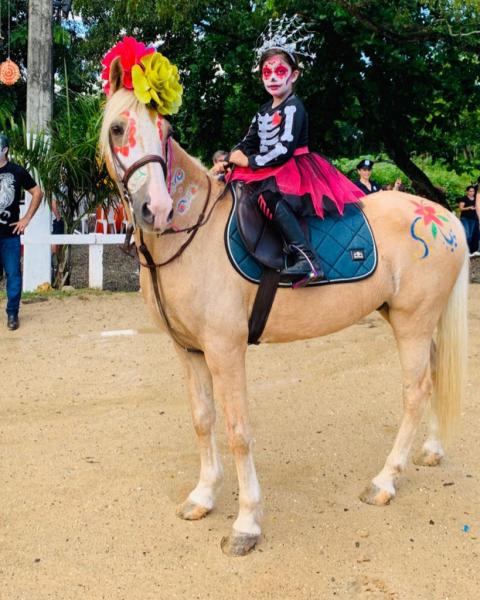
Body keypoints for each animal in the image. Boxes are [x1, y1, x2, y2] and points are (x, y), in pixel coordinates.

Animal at [99, 58, 466, 556]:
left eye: (167, 130)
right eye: (118, 127)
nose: (155, 208)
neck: (193, 232)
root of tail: (443, 217)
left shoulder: (226, 349)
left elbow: (238, 432)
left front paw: (246, 524)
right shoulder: (189, 350)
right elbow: (202, 420)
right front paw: (202, 497)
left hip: (413, 322)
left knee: (416, 391)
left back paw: (385, 481)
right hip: (417, 321)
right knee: (434, 375)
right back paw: (431, 450)